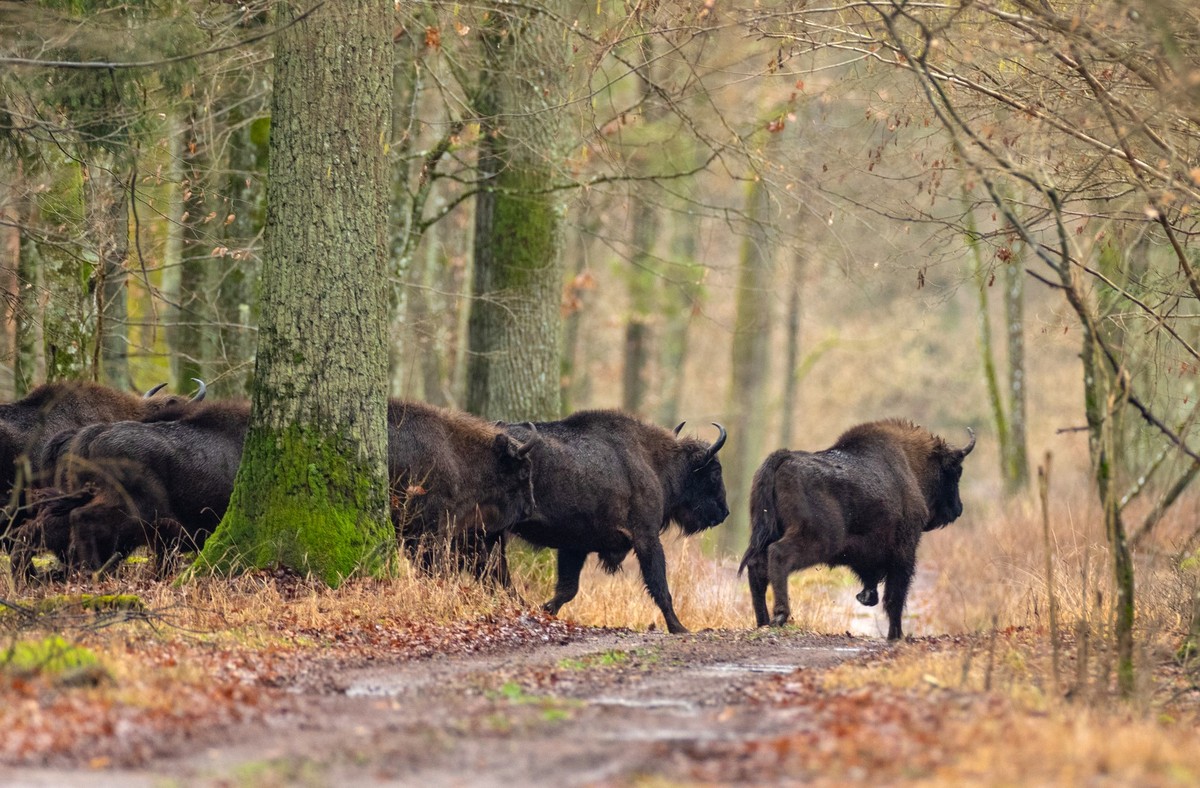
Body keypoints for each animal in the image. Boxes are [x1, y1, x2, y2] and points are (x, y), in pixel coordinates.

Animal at [501, 411, 729, 634]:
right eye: (715, 472)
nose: (724, 512)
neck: (653, 463)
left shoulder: (574, 546)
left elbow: (568, 589)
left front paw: (546, 611)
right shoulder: (647, 538)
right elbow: (660, 586)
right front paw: (679, 628)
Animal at [739, 419, 975, 640]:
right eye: (956, 472)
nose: (958, 509)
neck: (911, 465)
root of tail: (784, 458)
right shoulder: (904, 551)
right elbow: (895, 595)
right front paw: (896, 635)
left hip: (768, 531)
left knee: (757, 566)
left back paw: (762, 621)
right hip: (817, 539)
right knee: (778, 555)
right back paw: (780, 615)